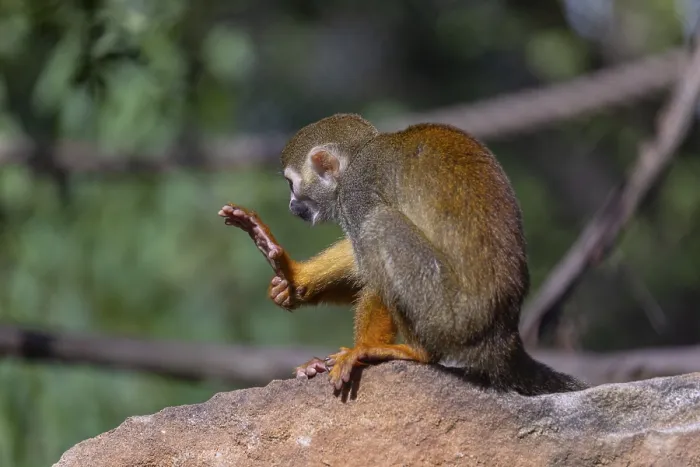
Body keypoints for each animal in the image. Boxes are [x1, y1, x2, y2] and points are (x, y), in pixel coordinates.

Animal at [219, 113, 588, 395]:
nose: (292, 206)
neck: (359, 156)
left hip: (447, 313)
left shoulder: (356, 193)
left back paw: (415, 352)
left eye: (292, 185)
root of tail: (504, 338)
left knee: (380, 225)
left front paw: (359, 351)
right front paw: (295, 281)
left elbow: (371, 266)